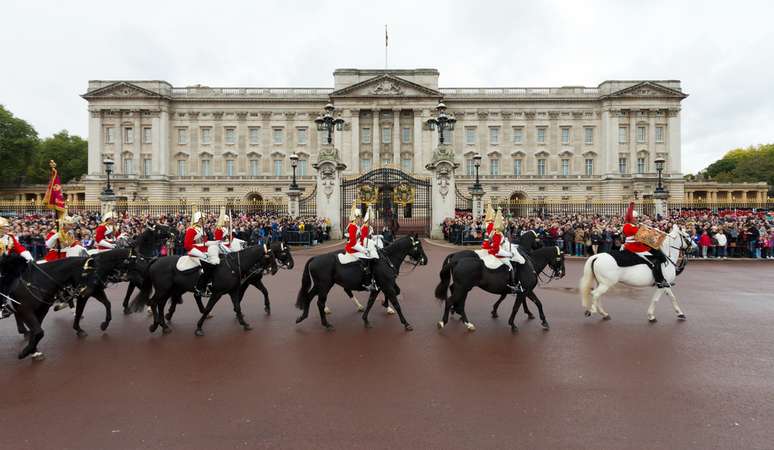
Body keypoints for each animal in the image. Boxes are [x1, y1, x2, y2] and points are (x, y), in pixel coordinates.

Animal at [132, 246, 278, 334]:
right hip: (163, 290)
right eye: (271, 256)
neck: (232, 266)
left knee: (160, 305)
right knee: (153, 303)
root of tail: (156, 260)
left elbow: (237, 307)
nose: (275, 270)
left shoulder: (233, 291)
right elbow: (208, 308)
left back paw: (163, 325)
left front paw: (245, 323)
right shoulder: (217, 293)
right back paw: (155, 325)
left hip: (168, 290)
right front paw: (199, 328)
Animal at [298, 236, 430, 330]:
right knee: (320, 302)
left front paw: (367, 319)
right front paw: (406, 323)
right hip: (325, 286)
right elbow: (396, 303)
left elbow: (371, 302)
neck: (387, 259)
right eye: (418, 246)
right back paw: (326, 323)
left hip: (320, 285)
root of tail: (315, 258)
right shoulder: (387, 285)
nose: (425, 260)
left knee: (309, 297)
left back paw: (302, 317)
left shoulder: (379, 287)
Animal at [436, 244, 564, 332]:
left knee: (459, 301)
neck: (530, 264)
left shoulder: (525, 290)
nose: (562, 273)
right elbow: (516, 307)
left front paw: (543, 321)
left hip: (464, 288)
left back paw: (466, 321)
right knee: (450, 301)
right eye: (561, 259)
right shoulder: (523, 291)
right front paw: (512, 323)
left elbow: (538, 303)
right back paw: (444, 321)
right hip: (462, 288)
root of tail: (457, 259)